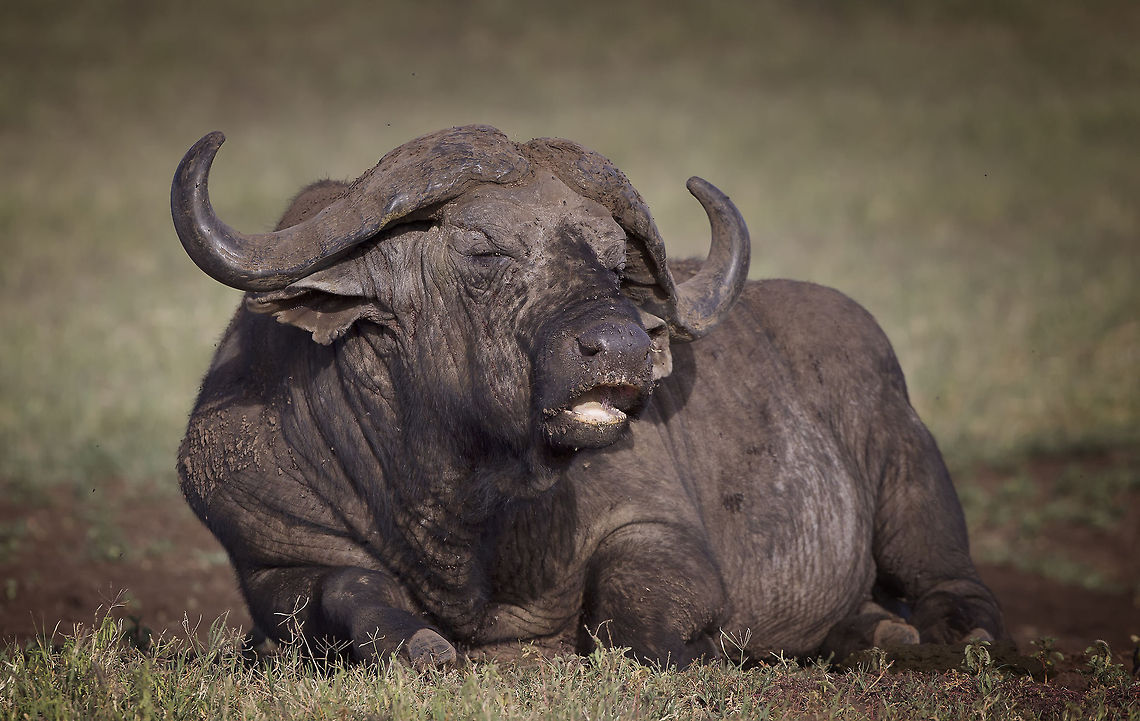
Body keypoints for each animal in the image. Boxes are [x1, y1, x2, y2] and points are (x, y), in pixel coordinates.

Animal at [171, 125, 1004, 667]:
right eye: (481, 248)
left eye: (610, 258)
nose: (627, 347)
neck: (454, 501)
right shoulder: (270, 554)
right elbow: (343, 586)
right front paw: (422, 643)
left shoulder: (657, 528)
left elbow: (632, 617)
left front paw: (703, 650)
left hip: (909, 473)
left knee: (951, 579)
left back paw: (951, 633)